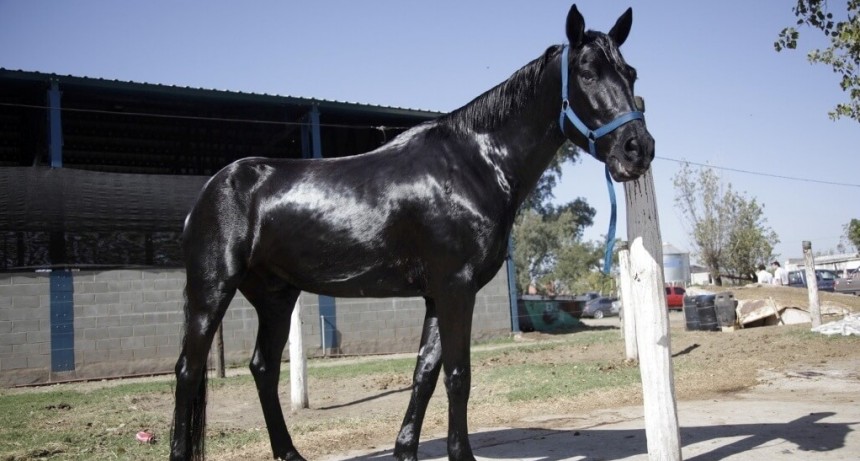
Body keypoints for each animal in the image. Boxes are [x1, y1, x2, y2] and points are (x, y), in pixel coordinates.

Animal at [170, 4, 654, 460]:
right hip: (211, 290)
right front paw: (461, 454)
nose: (638, 148)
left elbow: (425, 373)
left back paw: (290, 452)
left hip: (275, 296)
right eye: (587, 72)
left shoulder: (437, 294)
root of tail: (211, 190)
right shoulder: (456, 287)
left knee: (263, 369)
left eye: (630, 73)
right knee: (188, 371)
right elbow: (458, 375)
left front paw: (405, 449)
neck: (475, 164)